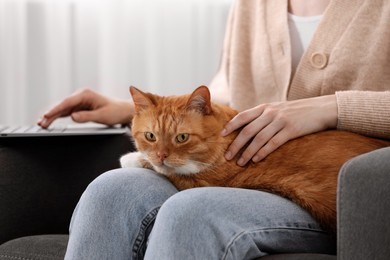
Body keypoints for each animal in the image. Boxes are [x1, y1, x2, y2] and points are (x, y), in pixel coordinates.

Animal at [120, 86, 388, 234]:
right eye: (151, 136)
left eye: (182, 137)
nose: (161, 155)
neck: (226, 138)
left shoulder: (197, 180)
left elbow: (166, 170)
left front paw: (133, 158)